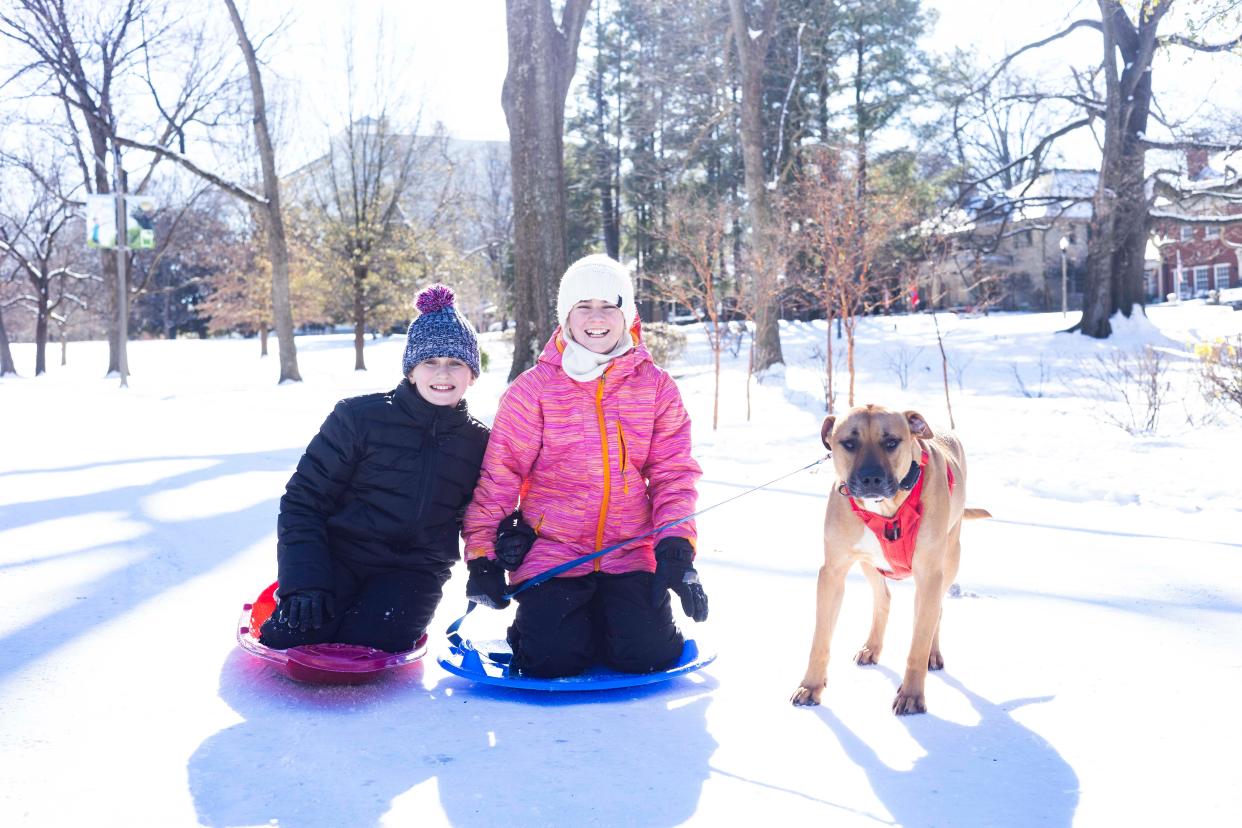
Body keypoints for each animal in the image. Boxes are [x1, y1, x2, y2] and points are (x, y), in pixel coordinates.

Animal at [794, 404, 988, 715]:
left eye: (891, 442)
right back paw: (872, 646)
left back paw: (932, 652)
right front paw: (810, 686)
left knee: (935, 612)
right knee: (883, 598)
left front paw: (912, 695)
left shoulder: (929, 573)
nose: (871, 478)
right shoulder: (833, 572)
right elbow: (820, 638)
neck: (885, 508)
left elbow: (918, 643)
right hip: (870, 563)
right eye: (849, 443)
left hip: (949, 560)